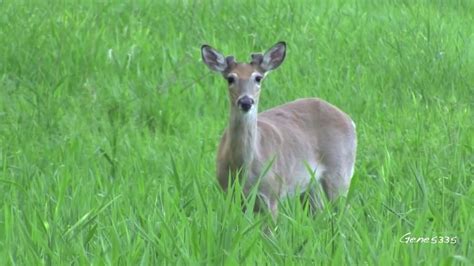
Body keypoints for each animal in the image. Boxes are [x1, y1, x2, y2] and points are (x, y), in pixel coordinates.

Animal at [202, 42, 358, 220]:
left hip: (340, 170)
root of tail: (350, 120)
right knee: (318, 211)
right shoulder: (230, 195)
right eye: (230, 78)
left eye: (258, 78)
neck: (242, 168)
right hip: (309, 184)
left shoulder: (272, 194)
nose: (246, 101)